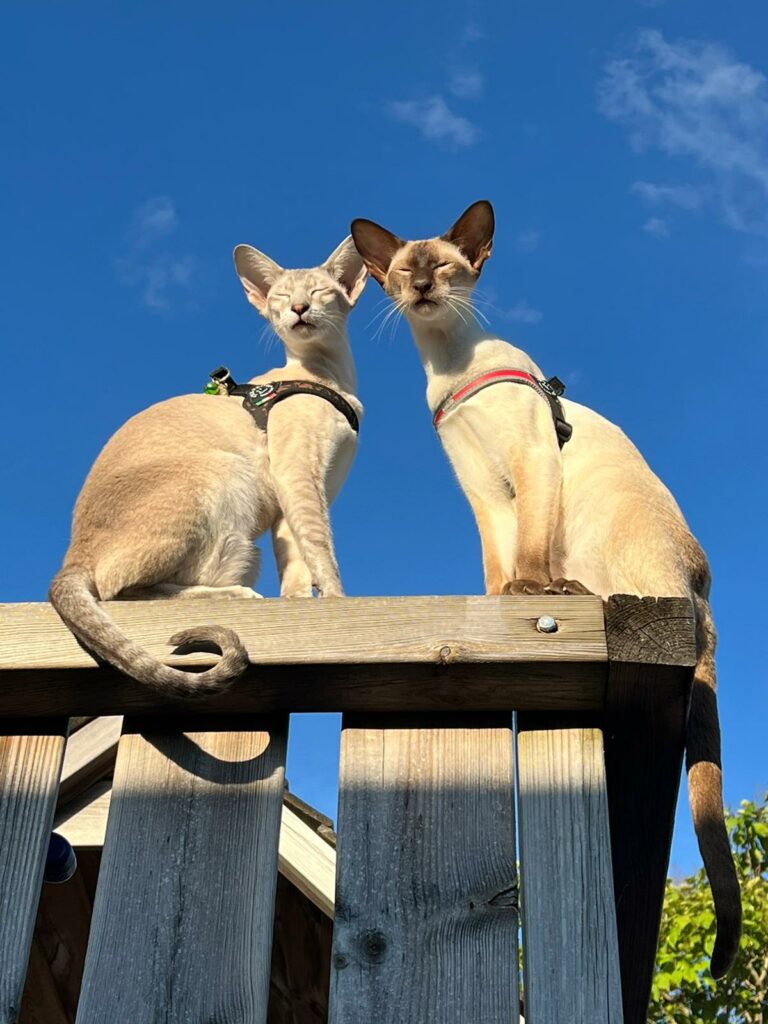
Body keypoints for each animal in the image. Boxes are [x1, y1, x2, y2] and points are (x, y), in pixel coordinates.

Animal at [49, 234, 368, 696]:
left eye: (320, 291)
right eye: (282, 297)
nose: (299, 309)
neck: (329, 375)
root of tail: (70, 558)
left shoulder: (292, 499)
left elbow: (296, 566)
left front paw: (297, 604)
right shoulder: (298, 475)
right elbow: (322, 550)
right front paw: (340, 602)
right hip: (226, 473)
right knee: (118, 590)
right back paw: (235, 595)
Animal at [352, 199, 741, 974]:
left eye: (445, 268)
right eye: (405, 272)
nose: (422, 290)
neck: (448, 361)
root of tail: (703, 600)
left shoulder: (529, 460)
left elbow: (527, 550)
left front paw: (531, 596)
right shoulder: (477, 484)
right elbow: (497, 565)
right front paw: (501, 602)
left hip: (601, 515)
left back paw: (564, 589)